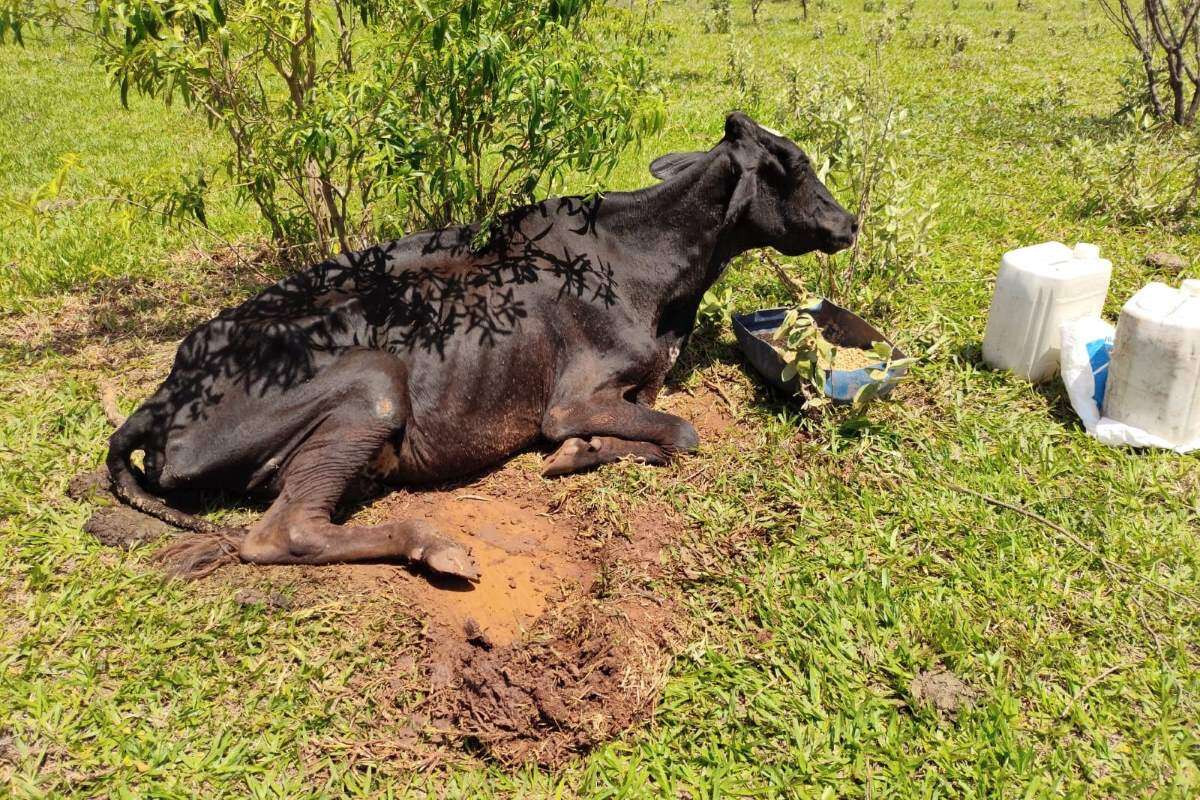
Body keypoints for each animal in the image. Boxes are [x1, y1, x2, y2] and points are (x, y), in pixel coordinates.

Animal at [103, 112, 854, 578]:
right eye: (796, 167)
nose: (849, 222)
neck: (660, 270)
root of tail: (161, 402)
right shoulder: (571, 401)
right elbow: (680, 432)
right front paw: (578, 454)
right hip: (374, 388)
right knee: (283, 532)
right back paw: (432, 544)